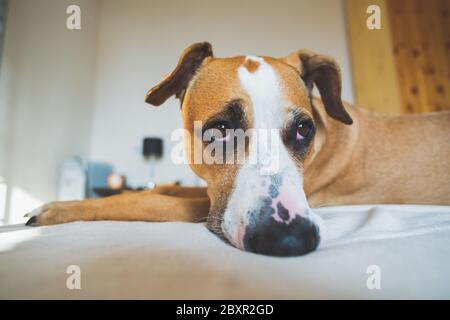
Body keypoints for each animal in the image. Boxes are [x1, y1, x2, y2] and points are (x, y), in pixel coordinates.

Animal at [25, 43, 450, 258]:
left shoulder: (200, 206)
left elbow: (144, 201)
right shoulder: (206, 191)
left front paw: (55, 210)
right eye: (220, 129)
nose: (289, 239)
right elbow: (158, 188)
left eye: (303, 129)